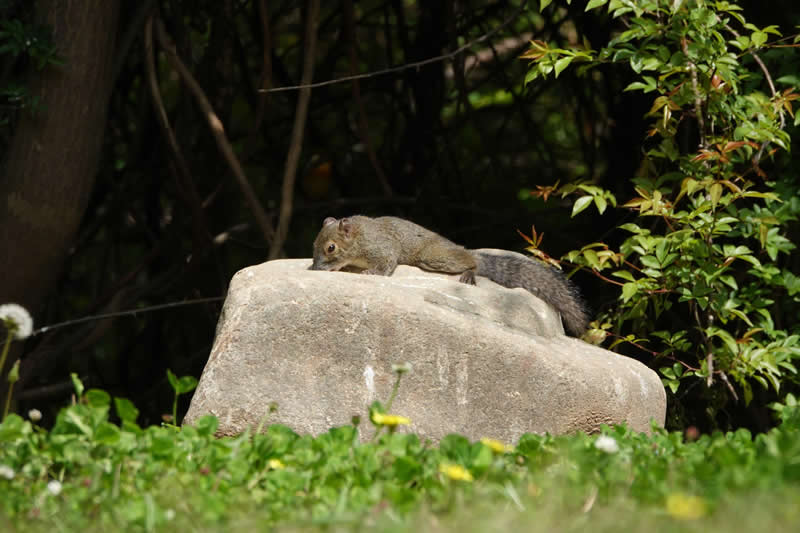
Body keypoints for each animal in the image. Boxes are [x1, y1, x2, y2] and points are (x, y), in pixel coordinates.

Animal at [310, 214, 592, 334]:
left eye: (331, 248)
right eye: (313, 244)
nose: (316, 268)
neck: (359, 237)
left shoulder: (382, 247)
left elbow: (386, 265)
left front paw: (370, 272)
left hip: (434, 256)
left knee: (470, 261)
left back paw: (469, 272)